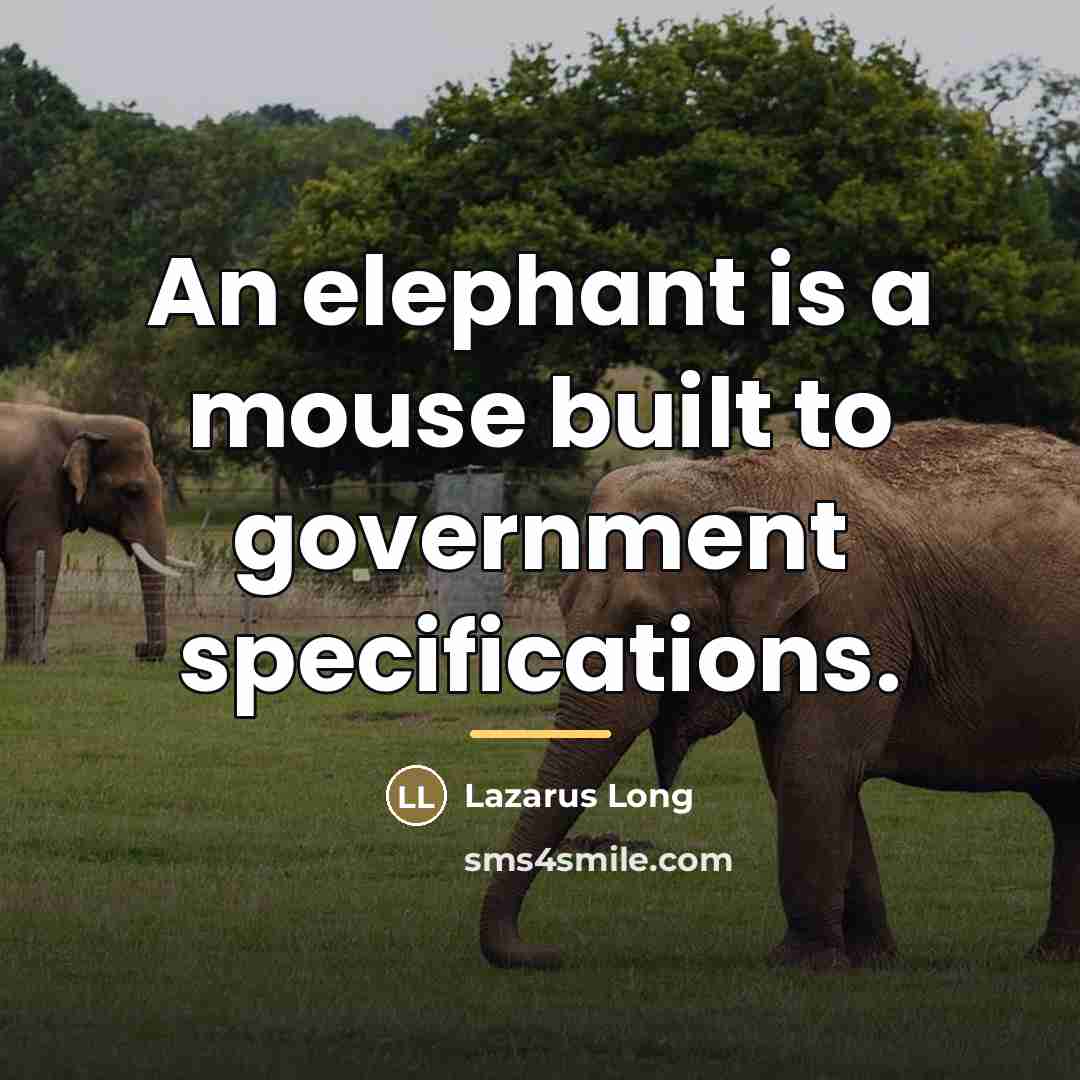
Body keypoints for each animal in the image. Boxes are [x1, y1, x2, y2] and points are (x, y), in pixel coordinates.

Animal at [0, 403, 195, 661]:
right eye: (132, 491)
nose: (139, 648)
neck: (82, 421)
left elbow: (16, 562)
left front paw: (14, 662)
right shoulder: (38, 490)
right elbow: (36, 556)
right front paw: (32, 662)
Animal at [480, 419, 1080, 970]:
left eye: (659, 625)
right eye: (562, 604)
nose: (549, 952)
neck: (736, 478)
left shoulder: (855, 612)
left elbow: (813, 765)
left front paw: (798, 966)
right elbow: (801, 770)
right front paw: (870, 963)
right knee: (1066, 806)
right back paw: (1053, 958)